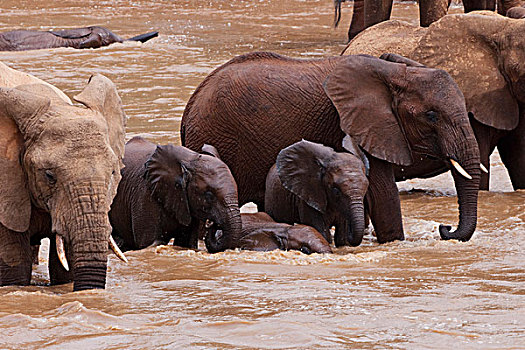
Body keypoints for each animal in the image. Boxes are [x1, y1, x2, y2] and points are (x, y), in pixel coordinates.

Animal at [110, 137, 244, 254]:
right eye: (209, 195)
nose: (211, 224)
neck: (189, 160)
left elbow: (185, 243)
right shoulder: (145, 194)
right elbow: (148, 242)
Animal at [182, 51, 482, 243]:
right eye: (431, 116)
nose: (445, 228)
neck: (397, 72)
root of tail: (190, 107)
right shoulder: (354, 122)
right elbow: (383, 194)